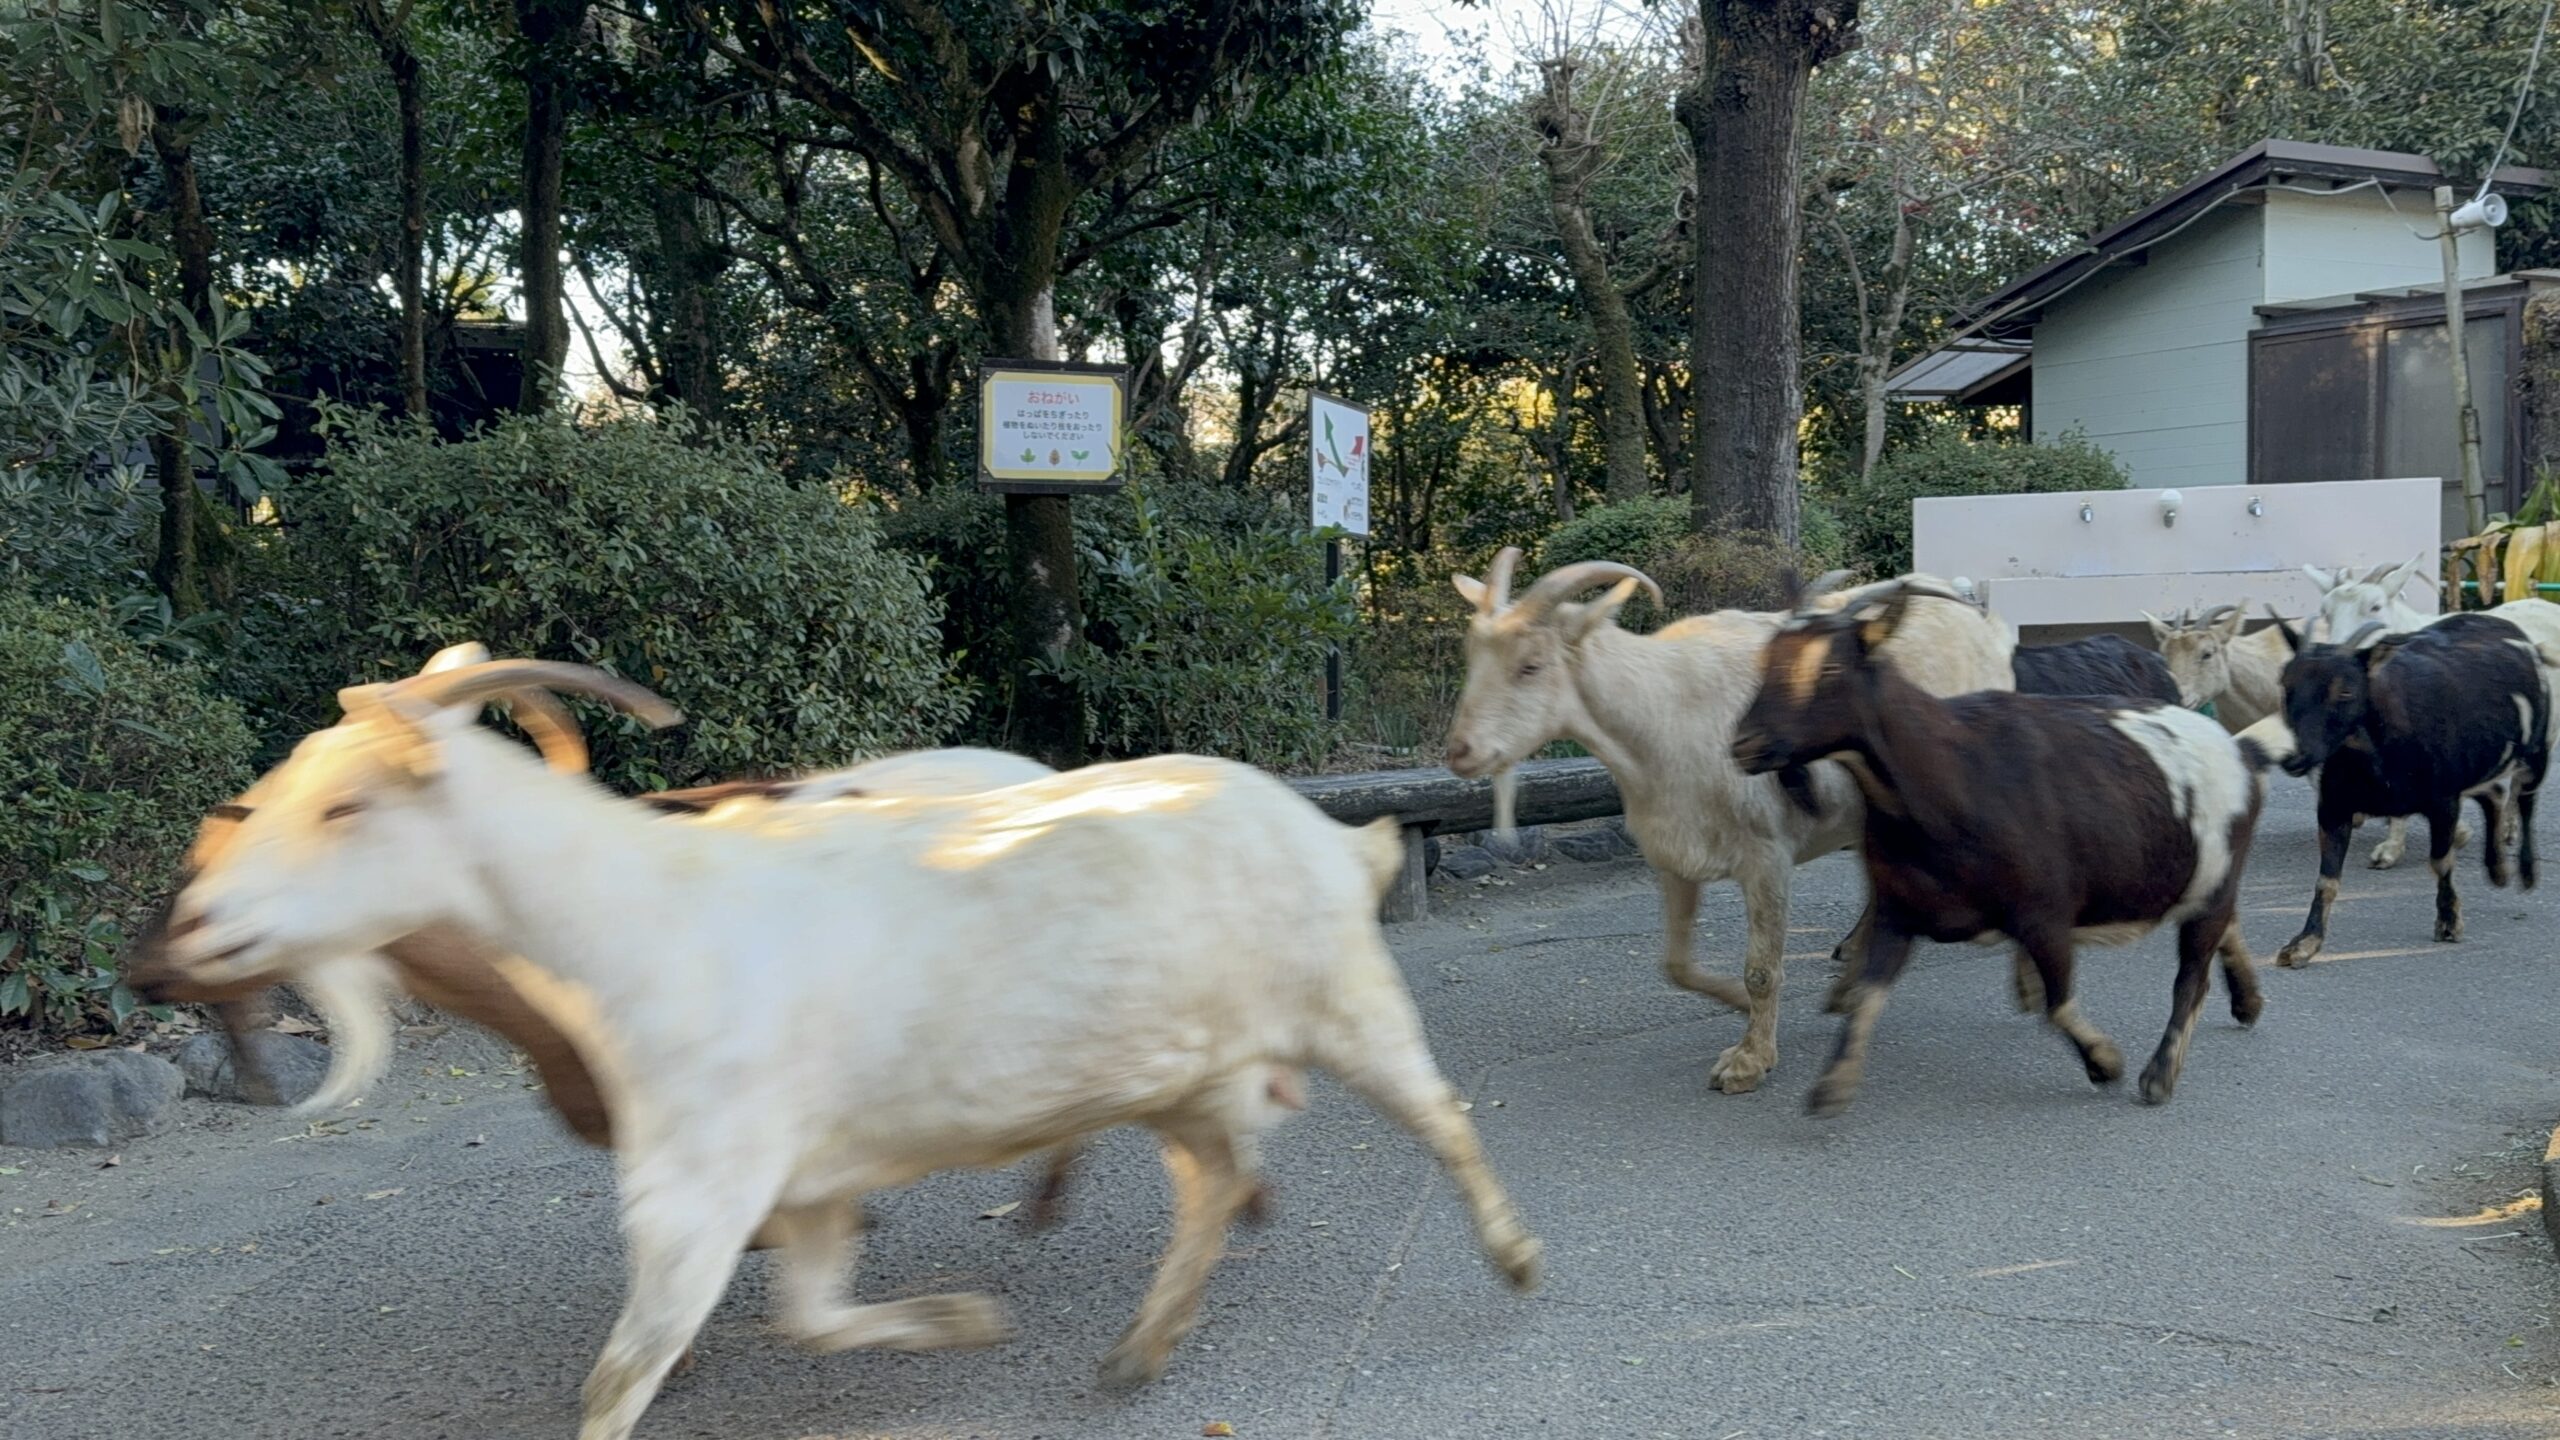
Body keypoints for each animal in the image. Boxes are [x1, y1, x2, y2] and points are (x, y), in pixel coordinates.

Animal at [165, 653, 1536, 1434]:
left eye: (347, 805)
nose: (192, 928)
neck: (643, 922)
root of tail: (1330, 831)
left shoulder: (698, 1191)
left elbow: (626, 1374)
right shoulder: (802, 1187)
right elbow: (810, 1318)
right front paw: (960, 1323)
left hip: (1346, 999)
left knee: (1441, 1115)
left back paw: (1513, 1260)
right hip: (1180, 1072)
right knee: (1211, 1179)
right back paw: (1139, 1349)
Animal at [2273, 607, 2549, 963]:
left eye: (2346, 690)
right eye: (2285, 684)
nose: (2294, 758)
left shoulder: (2443, 800)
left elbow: (2440, 862)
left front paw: (2449, 922)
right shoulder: (2334, 806)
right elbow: (2327, 879)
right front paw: (2304, 944)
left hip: (2536, 750)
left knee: (2525, 798)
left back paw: (2526, 872)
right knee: (2494, 794)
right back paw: (2497, 868)